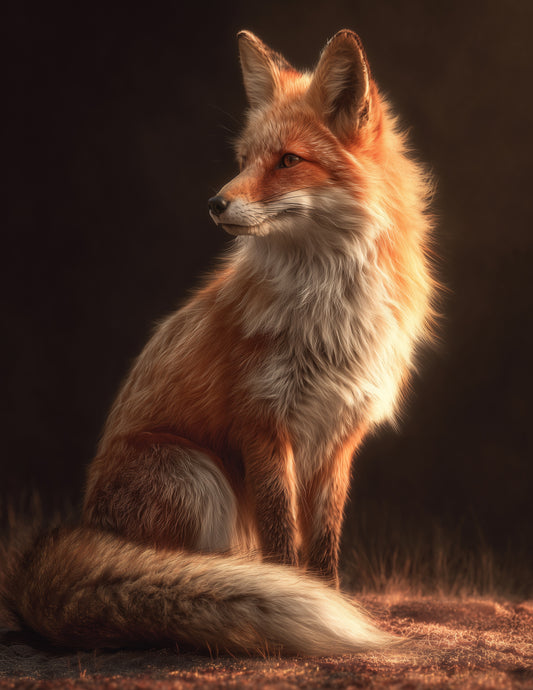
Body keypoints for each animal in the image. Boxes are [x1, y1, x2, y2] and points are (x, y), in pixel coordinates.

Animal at [4, 30, 435, 656]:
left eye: (288, 161)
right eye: (243, 161)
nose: (214, 203)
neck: (329, 313)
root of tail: (89, 523)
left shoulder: (340, 434)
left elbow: (324, 543)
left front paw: (332, 595)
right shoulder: (263, 422)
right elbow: (284, 541)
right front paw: (299, 594)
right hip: (198, 477)